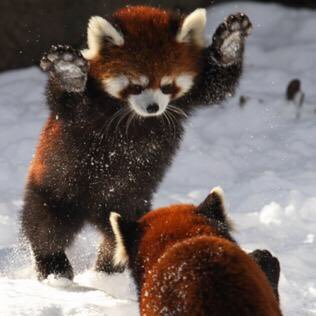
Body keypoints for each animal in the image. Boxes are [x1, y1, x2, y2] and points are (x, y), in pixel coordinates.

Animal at [21, 5, 252, 278]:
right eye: (136, 86)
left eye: (166, 86)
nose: (153, 108)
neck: (135, 115)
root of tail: (92, 213)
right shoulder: (83, 111)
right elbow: (66, 100)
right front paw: (69, 72)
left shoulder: (192, 93)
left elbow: (219, 86)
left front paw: (229, 43)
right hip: (57, 188)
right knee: (45, 227)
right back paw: (54, 268)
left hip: (130, 202)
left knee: (118, 236)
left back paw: (108, 269)